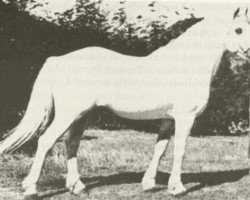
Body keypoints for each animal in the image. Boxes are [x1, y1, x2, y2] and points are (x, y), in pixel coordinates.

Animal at [0, 6, 250, 198]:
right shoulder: (185, 118)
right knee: (45, 141)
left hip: (82, 115)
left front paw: (148, 184)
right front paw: (177, 188)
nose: (248, 53)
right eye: (238, 29)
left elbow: (160, 149)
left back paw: (77, 187)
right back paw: (31, 189)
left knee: (71, 144)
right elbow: (179, 150)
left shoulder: (168, 120)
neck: (184, 66)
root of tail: (59, 59)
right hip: (68, 114)